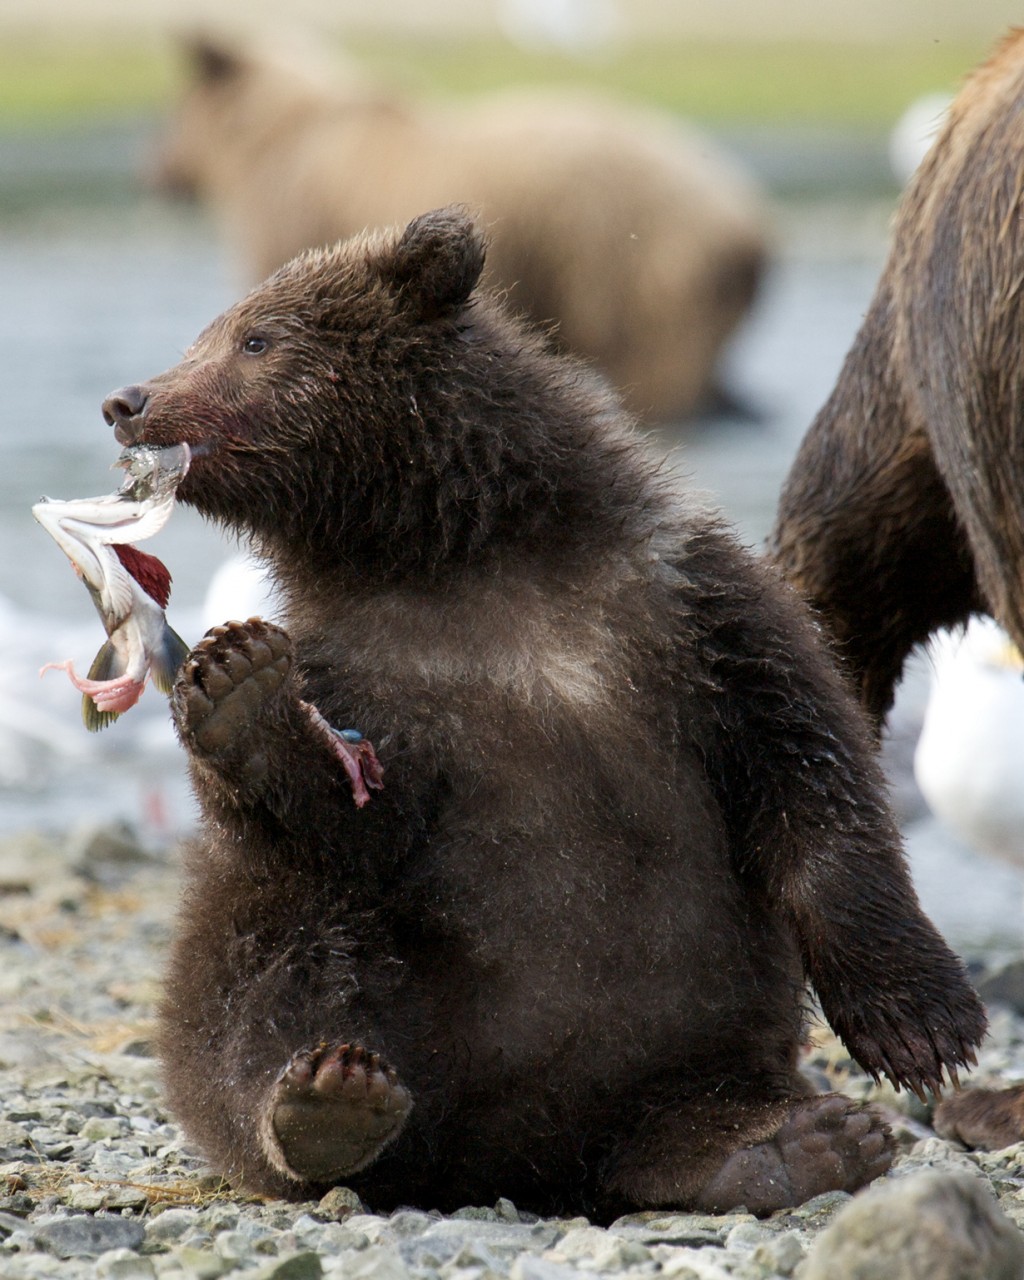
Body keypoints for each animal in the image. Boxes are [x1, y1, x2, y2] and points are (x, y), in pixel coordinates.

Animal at [101, 204, 983, 1213]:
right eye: (211, 333)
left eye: (253, 338)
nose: (129, 399)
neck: (456, 556)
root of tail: (509, 1162)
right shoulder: (371, 673)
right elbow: (352, 825)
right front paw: (239, 689)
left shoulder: (683, 602)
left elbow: (812, 766)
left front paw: (921, 1025)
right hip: (388, 1005)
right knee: (271, 965)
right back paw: (325, 1100)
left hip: (691, 1022)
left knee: (690, 1087)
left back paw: (788, 1143)